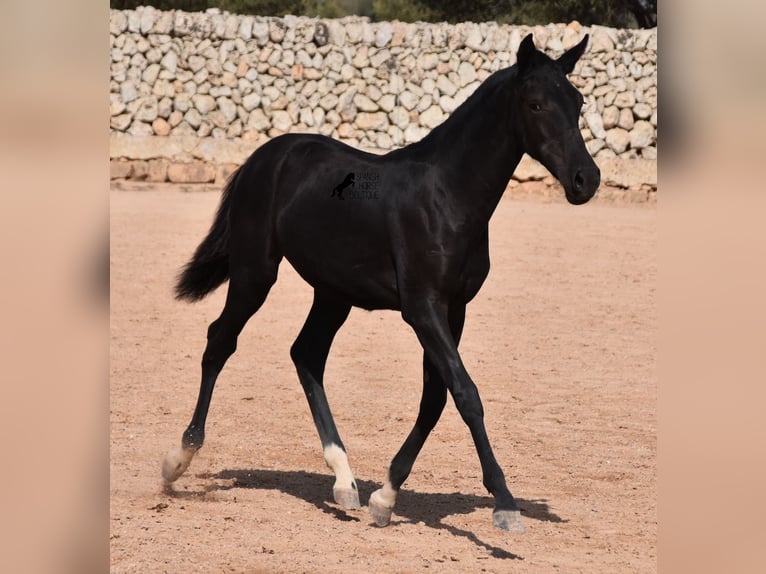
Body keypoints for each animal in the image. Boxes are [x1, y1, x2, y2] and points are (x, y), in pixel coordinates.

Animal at [165, 32, 604, 536]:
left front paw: (386, 496)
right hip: (256, 273)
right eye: (535, 104)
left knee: (306, 354)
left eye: (578, 101)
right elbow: (466, 394)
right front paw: (505, 504)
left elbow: (435, 399)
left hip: (333, 292)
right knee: (221, 341)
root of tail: (263, 158)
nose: (586, 180)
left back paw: (344, 482)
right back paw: (180, 458)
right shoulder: (422, 308)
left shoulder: (454, 309)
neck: (447, 196)